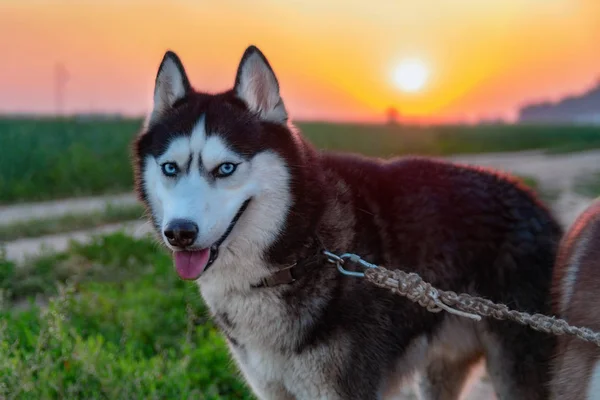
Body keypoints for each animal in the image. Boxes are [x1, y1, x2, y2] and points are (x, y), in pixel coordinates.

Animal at [131, 45, 564, 398]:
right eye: (170, 168)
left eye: (225, 168)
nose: (180, 233)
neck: (299, 252)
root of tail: (536, 205)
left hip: (515, 371)